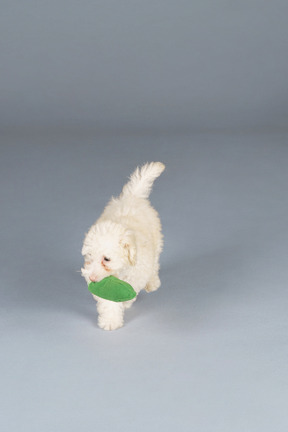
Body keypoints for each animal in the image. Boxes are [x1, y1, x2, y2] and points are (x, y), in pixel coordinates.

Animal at [82, 162, 165, 330]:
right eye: (89, 256)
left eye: (106, 259)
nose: (92, 278)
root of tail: (133, 196)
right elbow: (108, 299)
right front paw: (110, 319)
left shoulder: (138, 271)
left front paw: (124, 304)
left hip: (157, 240)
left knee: (155, 264)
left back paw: (153, 282)